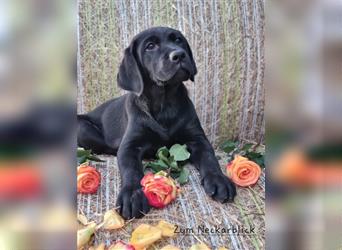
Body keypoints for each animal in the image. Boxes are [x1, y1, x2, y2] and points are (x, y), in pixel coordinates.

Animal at [78, 26, 235, 219]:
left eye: (178, 40)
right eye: (150, 46)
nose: (179, 55)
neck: (164, 102)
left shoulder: (197, 138)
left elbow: (209, 157)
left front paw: (219, 180)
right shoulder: (130, 145)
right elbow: (131, 169)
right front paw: (131, 195)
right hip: (83, 129)